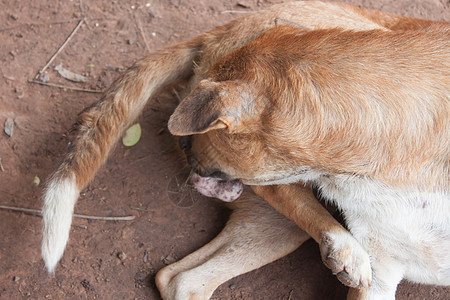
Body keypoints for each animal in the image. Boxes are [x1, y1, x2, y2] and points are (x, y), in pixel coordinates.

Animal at [40, 1, 448, 298]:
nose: (182, 143)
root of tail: (222, 30)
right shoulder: (379, 274)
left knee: (180, 279)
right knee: (183, 277)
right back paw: (344, 251)